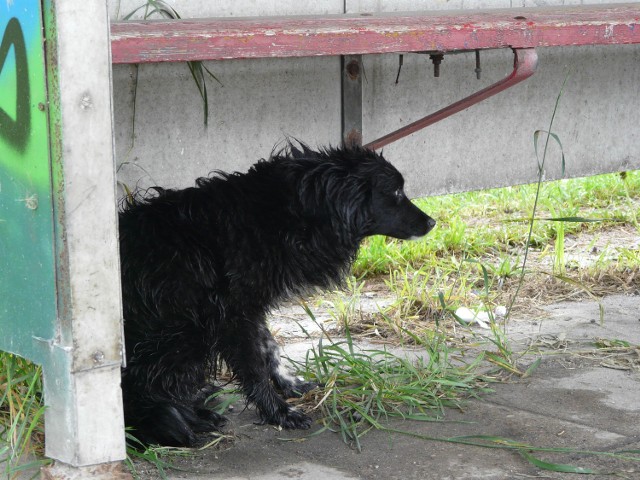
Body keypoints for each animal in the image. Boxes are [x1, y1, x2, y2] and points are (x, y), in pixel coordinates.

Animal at [118, 142, 438, 446]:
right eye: (396, 191)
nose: (432, 222)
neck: (282, 212)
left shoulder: (250, 308)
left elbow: (270, 349)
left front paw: (289, 385)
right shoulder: (232, 316)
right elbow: (254, 367)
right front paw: (279, 413)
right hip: (183, 335)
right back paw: (174, 420)